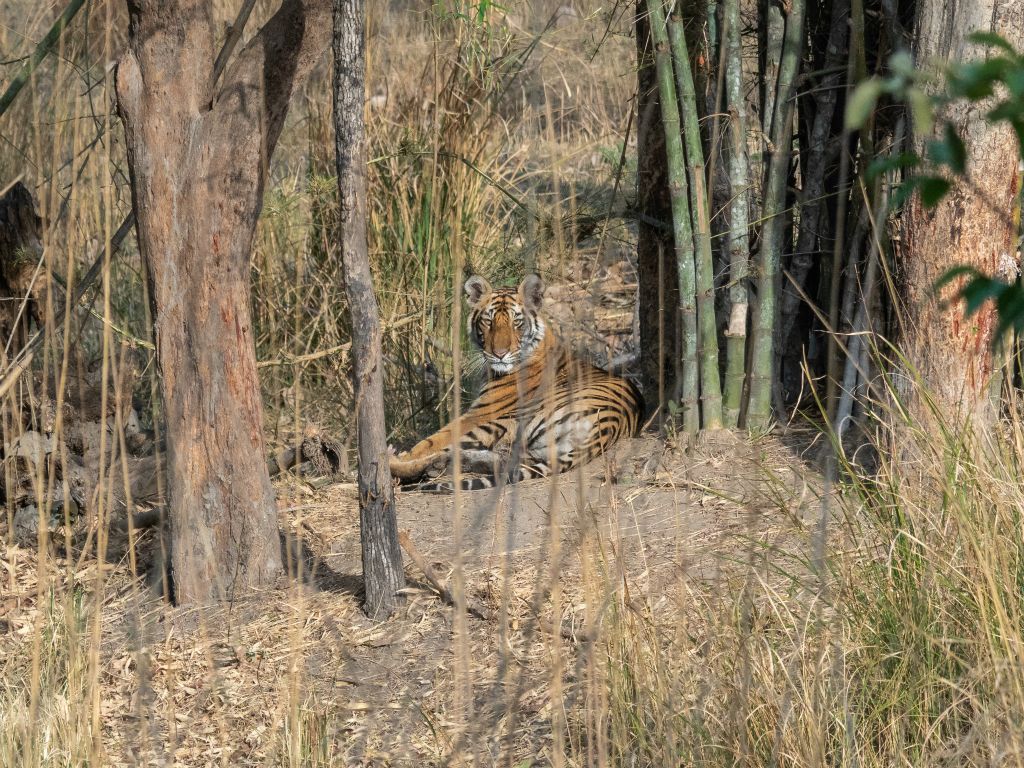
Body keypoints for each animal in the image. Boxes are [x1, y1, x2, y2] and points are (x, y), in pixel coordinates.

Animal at [387, 276, 643, 493]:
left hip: (507, 421)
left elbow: (431, 440)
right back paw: (440, 464)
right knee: (500, 460)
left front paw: (403, 454)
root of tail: (608, 427)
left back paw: (395, 461)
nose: (499, 354)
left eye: (517, 323)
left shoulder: (479, 413)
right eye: (488, 322)